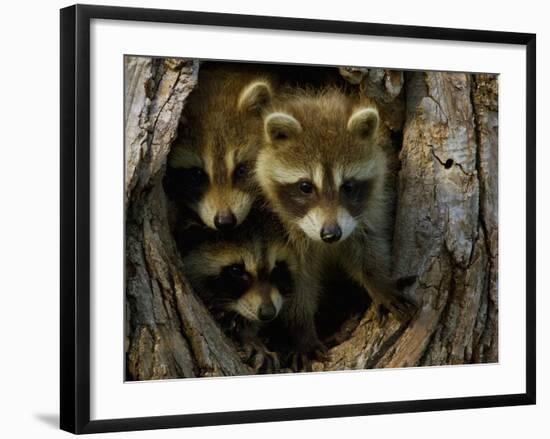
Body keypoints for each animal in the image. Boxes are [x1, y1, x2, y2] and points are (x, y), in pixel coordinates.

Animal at [256, 87, 416, 370]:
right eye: (305, 186)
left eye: (348, 186)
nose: (331, 234)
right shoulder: (284, 233)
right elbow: (296, 280)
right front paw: (301, 330)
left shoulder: (370, 206)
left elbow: (367, 247)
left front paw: (379, 282)